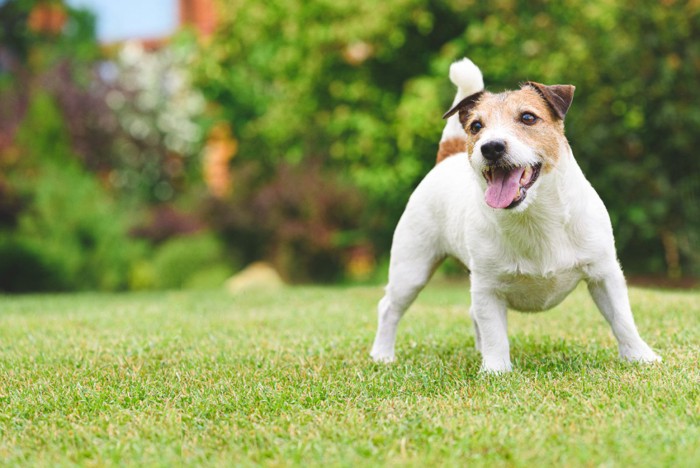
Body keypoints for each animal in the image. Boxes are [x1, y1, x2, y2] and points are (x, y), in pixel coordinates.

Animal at [372, 57, 660, 372]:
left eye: (528, 118)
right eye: (476, 126)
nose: (491, 147)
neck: (534, 216)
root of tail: (448, 156)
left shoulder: (604, 274)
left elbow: (622, 319)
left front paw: (640, 356)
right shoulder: (487, 288)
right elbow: (494, 332)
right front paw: (496, 369)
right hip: (411, 269)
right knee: (389, 308)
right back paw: (382, 355)